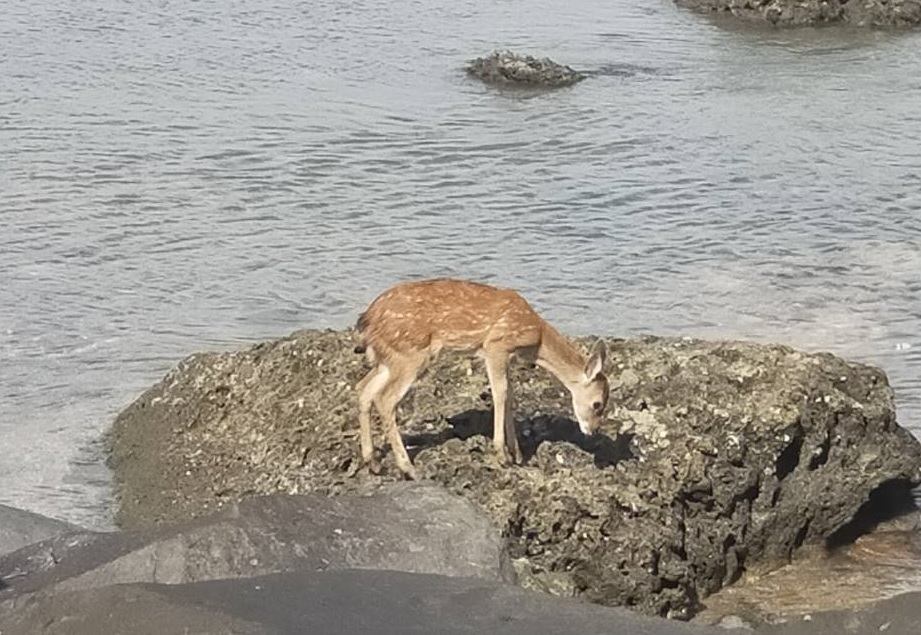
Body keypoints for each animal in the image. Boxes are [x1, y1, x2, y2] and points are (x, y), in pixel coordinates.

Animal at [354, 278, 610, 480]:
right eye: (597, 404)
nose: (593, 431)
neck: (535, 341)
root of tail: (367, 319)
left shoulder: (507, 355)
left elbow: (511, 395)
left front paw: (517, 454)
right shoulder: (496, 345)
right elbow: (500, 392)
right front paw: (501, 455)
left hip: (389, 358)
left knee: (364, 388)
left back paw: (373, 462)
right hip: (411, 353)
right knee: (385, 398)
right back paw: (408, 468)